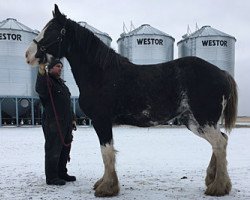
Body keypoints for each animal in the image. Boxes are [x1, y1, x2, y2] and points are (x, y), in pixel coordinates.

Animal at [25, 4, 238, 197]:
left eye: (52, 30)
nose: (28, 55)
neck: (101, 74)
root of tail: (221, 73)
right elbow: (108, 152)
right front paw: (103, 183)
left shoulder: (101, 121)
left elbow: (107, 152)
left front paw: (107, 188)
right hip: (194, 122)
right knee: (221, 141)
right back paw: (213, 180)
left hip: (204, 120)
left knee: (220, 143)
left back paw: (218, 187)